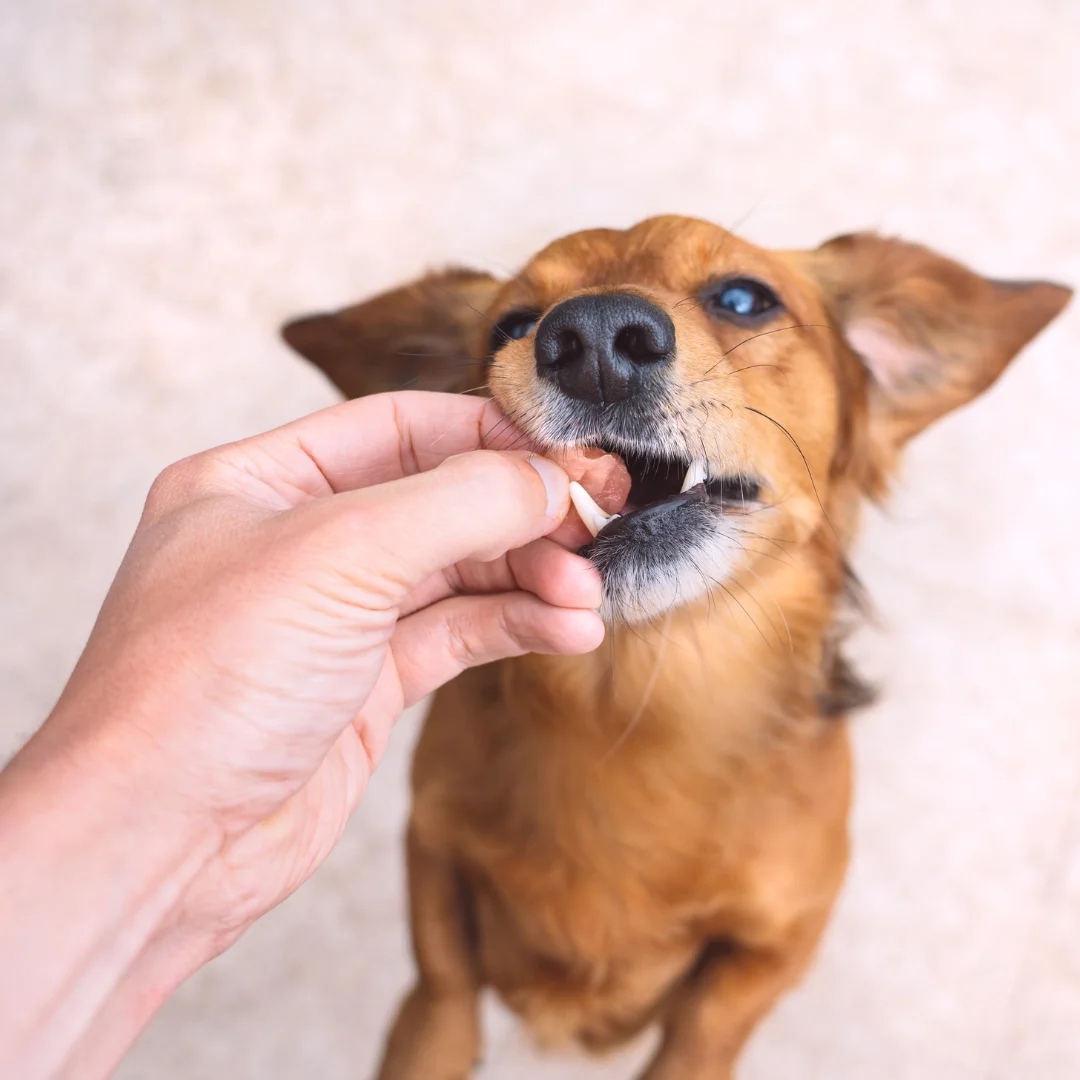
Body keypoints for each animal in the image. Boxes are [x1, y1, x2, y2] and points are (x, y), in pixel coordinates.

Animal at [280, 214, 1071, 1075]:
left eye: (744, 298)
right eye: (510, 326)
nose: (590, 338)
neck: (640, 700)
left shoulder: (778, 943)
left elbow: (704, 1032)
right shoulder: (430, 851)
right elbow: (442, 1001)